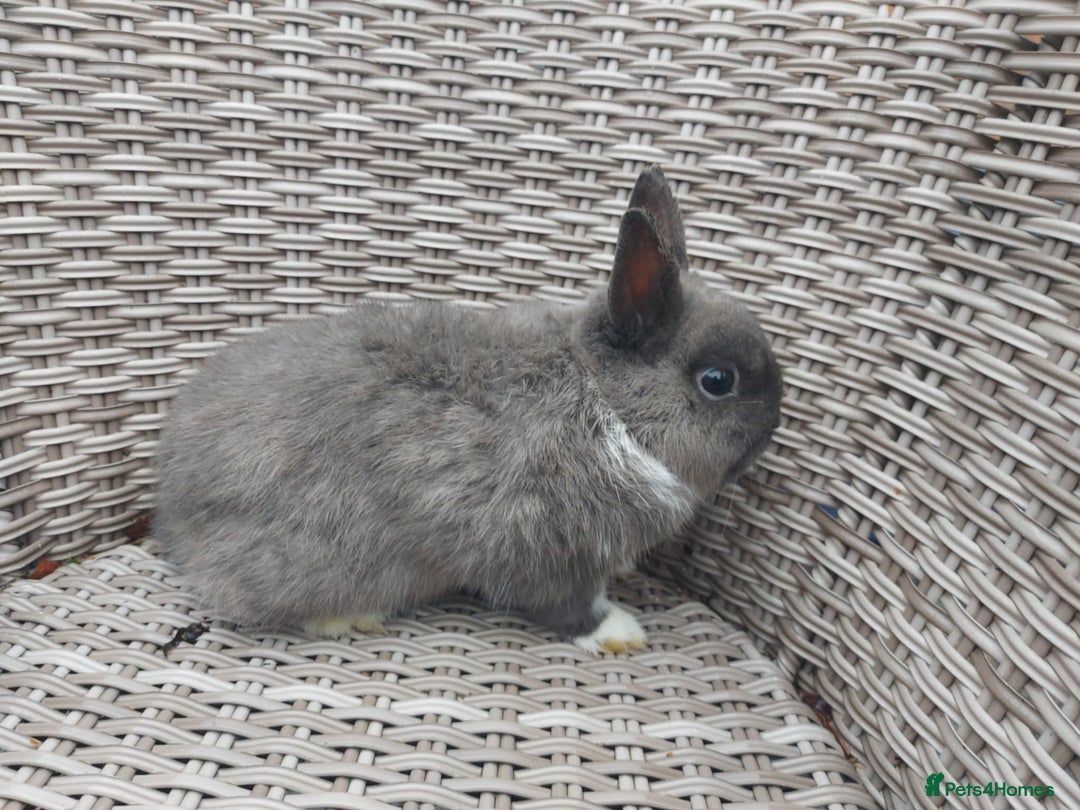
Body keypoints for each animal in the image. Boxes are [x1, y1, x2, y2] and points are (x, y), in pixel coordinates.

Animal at [153, 165, 783, 654]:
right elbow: (569, 606)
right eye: (717, 381)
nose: (773, 425)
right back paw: (349, 616)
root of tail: (174, 509)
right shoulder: (549, 549)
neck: (607, 404)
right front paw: (620, 634)